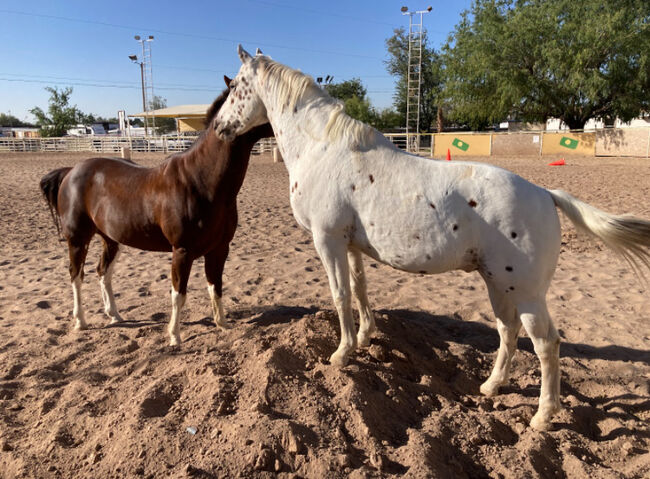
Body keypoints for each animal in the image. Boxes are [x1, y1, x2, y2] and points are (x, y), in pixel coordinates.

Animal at [40, 79, 274, 348]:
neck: (201, 181)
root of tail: (71, 171)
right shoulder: (182, 251)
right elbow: (178, 294)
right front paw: (174, 336)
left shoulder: (219, 249)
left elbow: (215, 287)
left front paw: (222, 324)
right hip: (78, 239)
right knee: (76, 275)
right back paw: (81, 321)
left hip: (110, 239)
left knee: (103, 273)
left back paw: (115, 315)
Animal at [214, 47, 648, 434]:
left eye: (234, 86)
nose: (218, 127)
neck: (323, 149)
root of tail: (545, 194)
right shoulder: (349, 245)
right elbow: (360, 288)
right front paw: (365, 337)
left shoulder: (328, 240)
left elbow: (340, 294)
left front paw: (341, 353)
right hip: (498, 283)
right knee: (507, 331)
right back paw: (491, 386)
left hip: (525, 292)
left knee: (545, 344)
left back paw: (542, 417)